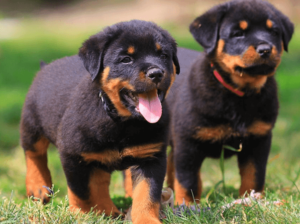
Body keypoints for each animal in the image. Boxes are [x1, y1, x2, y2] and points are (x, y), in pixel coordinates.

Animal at [20, 20, 180, 223]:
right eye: (126, 59)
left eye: (163, 55)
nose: (157, 73)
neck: (123, 122)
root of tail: (45, 67)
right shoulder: (73, 154)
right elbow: (80, 191)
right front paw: (81, 214)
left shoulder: (151, 156)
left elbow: (147, 194)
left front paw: (146, 219)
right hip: (31, 123)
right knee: (34, 152)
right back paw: (38, 186)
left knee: (100, 181)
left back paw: (108, 210)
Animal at [168, 0, 294, 205]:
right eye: (238, 33)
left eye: (274, 32)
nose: (266, 49)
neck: (239, 93)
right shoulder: (188, 142)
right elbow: (188, 181)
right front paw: (187, 206)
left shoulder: (259, 140)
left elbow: (254, 175)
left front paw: (252, 200)